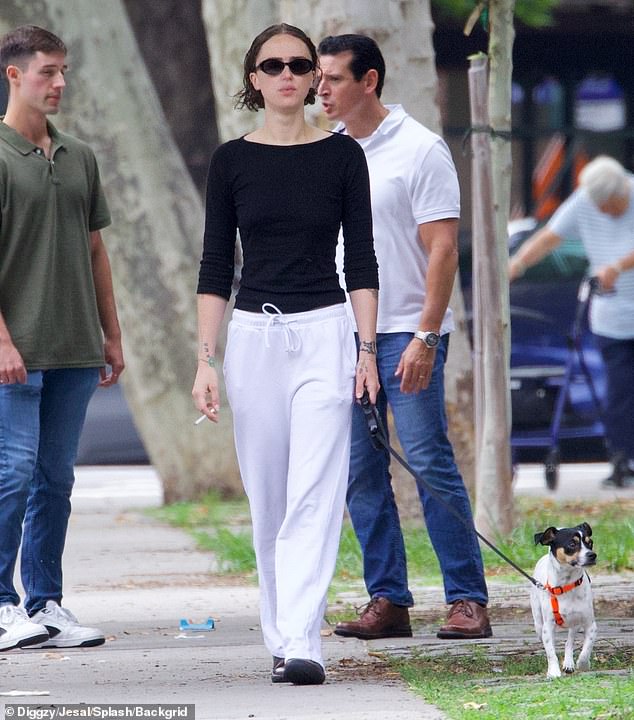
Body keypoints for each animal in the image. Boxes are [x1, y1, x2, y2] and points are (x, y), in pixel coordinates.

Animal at [532, 520, 596, 676]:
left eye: (590, 543)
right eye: (572, 544)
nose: (592, 555)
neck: (566, 586)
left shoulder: (590, 625)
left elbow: (587, 648)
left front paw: (583, 664)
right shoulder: (547, 627)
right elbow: (551, 652)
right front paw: (553, 672)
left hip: (574, 624)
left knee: (569, 642)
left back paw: (569, 663)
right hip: (538, 624)